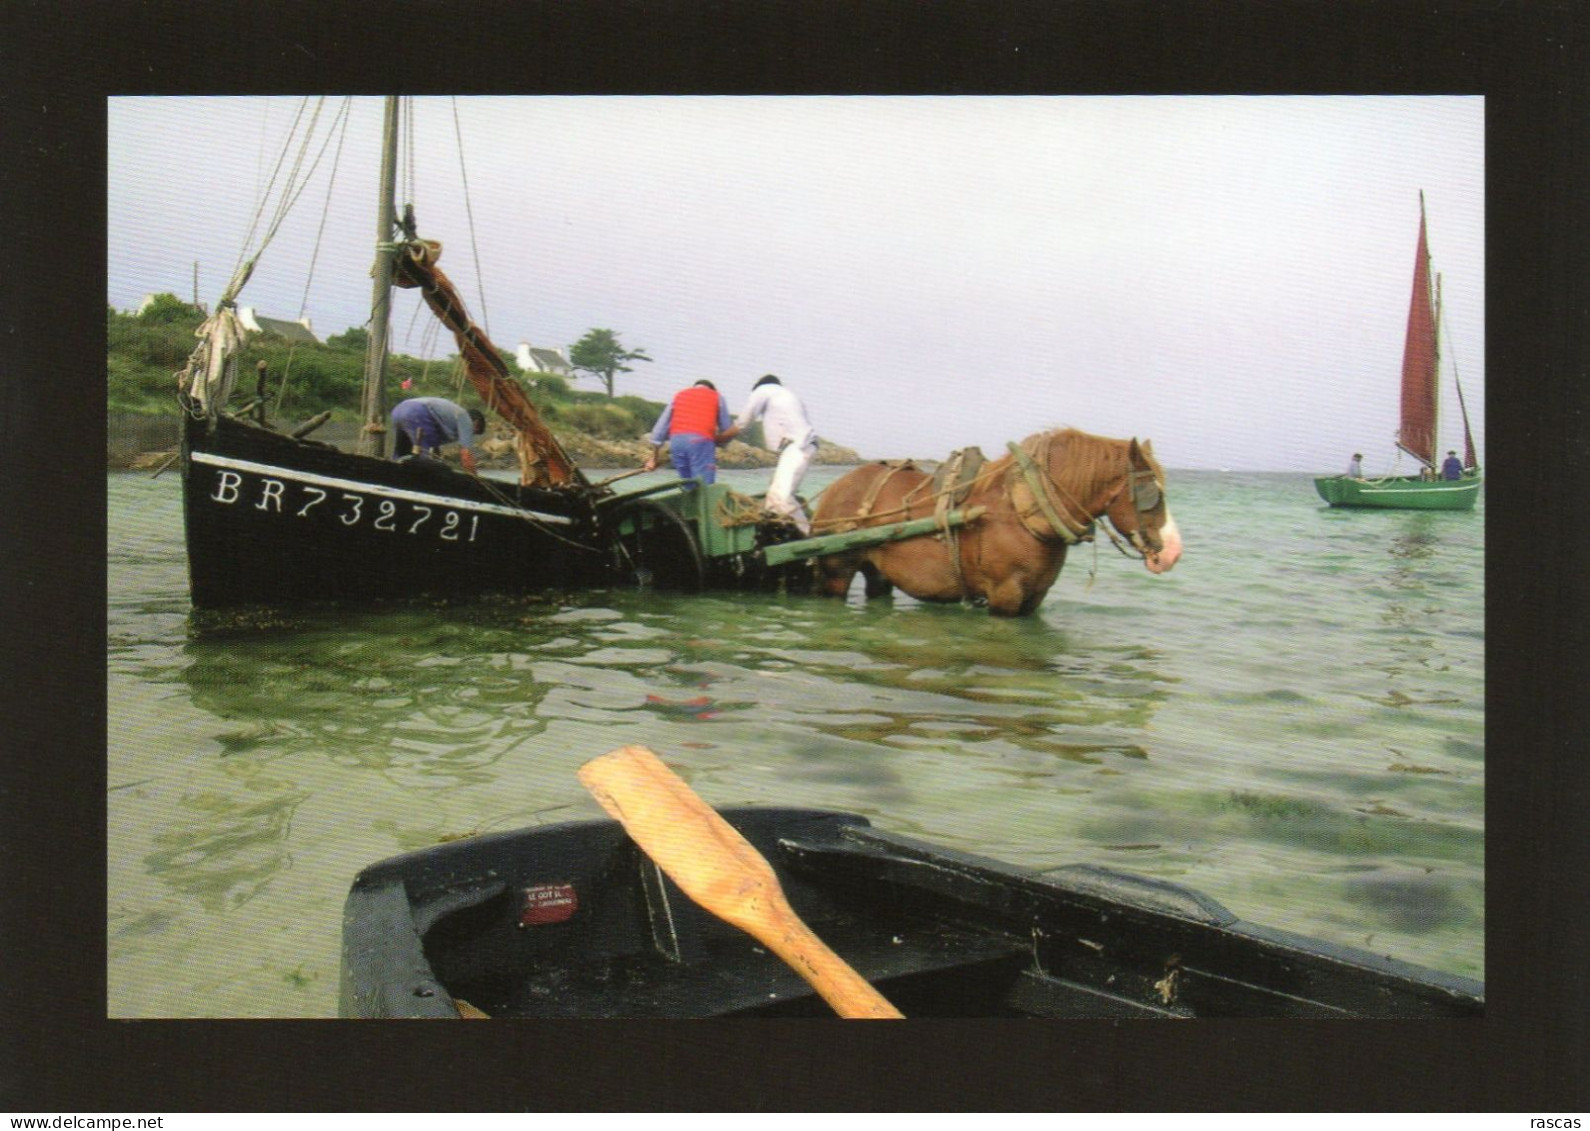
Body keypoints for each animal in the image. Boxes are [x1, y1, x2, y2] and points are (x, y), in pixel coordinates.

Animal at [820, 426, 1182, 620]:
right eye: (1154, 495)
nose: (1173, 553)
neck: (1023, 511)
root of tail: (836, 486)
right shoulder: (1004, 595)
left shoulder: (1035, 598)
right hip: (837, 571)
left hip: (877, 573)